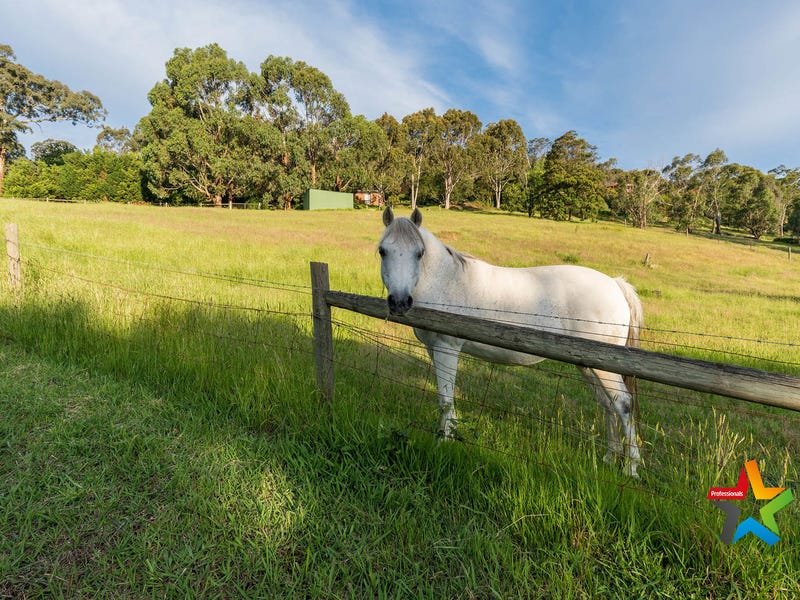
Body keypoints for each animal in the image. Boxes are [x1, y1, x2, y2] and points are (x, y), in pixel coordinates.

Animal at [378, 207, 648, 478]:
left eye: (419, 253)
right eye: (382, 250)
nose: (399, 302)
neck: (446, 280)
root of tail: (615, 284)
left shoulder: (447, 349)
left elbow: (446, 401)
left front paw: (443, 442)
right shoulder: (433, 349)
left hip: (604, 369)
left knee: (623, 403)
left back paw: (630, 467)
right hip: (589, 365)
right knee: (607, 404)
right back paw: (609, 457)